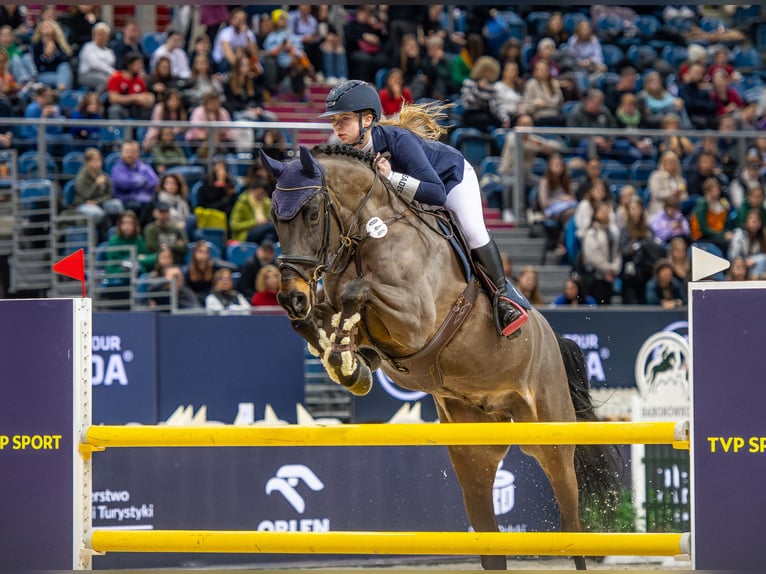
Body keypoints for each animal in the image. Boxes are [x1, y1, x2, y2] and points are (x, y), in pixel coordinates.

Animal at [260, 145, 620, 572]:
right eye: (273, 216)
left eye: (313, 213)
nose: (291, 296)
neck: (369, 233)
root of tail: (552, 339)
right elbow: (321, 320)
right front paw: (350, 365)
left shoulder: (416, 319)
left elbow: (357, 292)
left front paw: (349, 359)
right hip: (474, 452)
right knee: (490, 532)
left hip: (550, 437)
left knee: (572, 520)